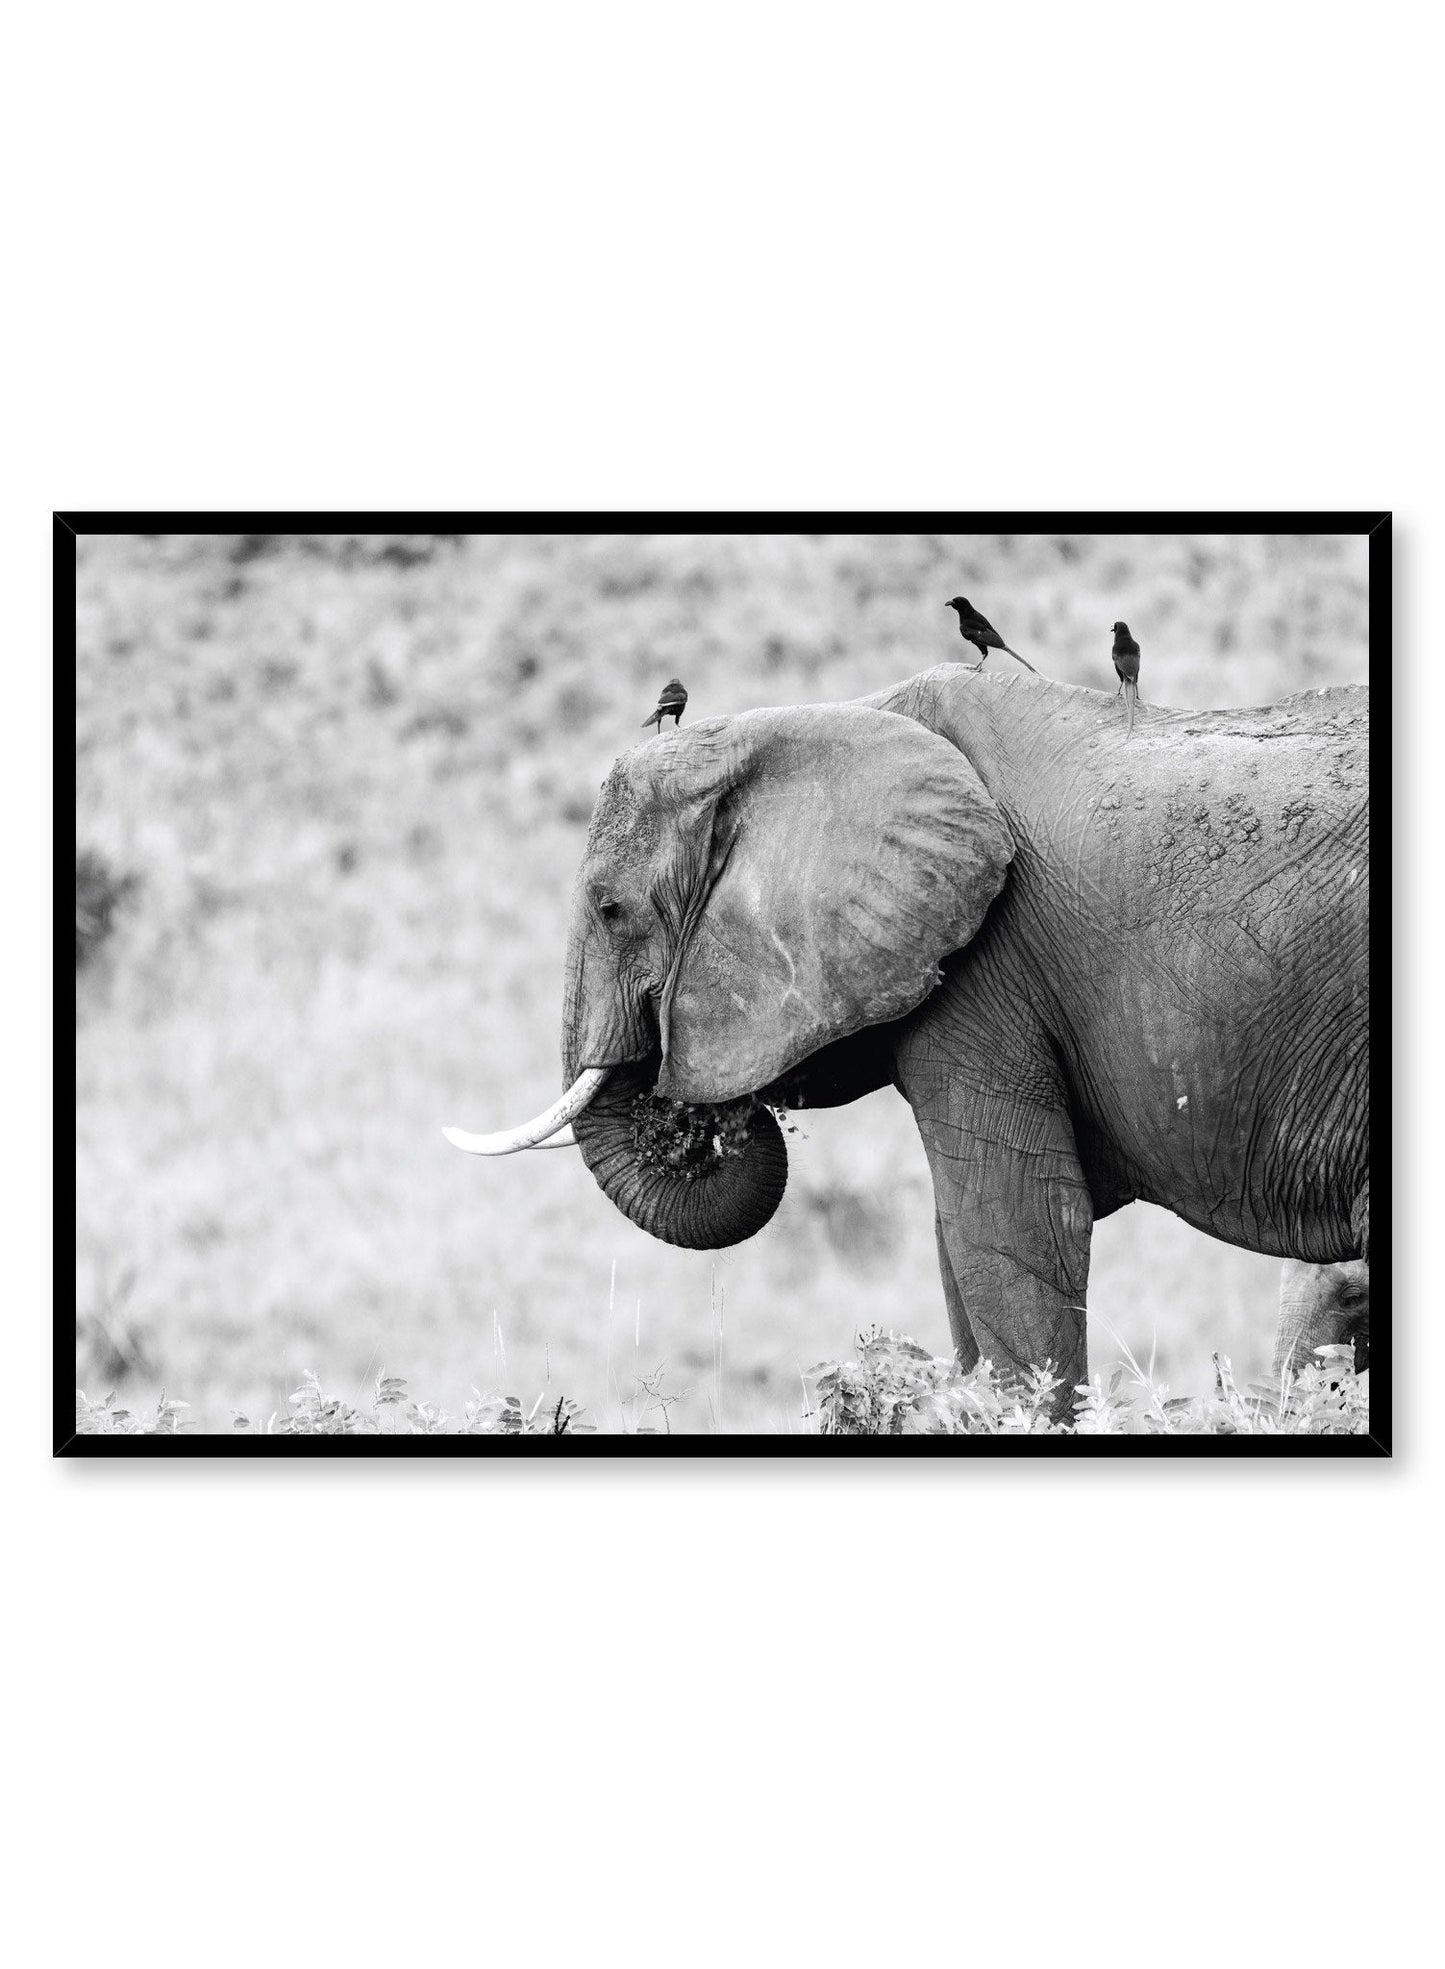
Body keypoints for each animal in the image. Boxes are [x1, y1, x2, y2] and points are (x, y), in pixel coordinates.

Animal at [448, 663, 1369, 1409]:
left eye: (609, 908)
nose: (687, 1114)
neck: (832, 718)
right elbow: (956, 1241)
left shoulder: (985, 969)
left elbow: (1010, 1225)